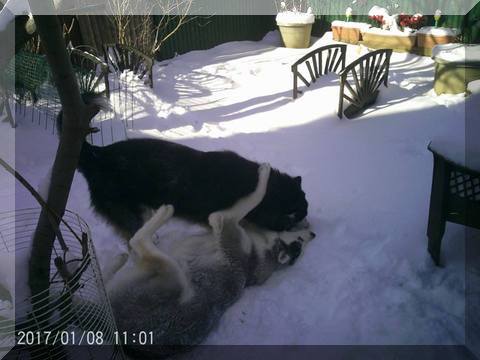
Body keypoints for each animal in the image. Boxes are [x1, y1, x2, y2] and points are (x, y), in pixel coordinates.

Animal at [103, 164, 316, 360]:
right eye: (300, 241)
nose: (313, 234)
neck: (266, 247)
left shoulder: (225, 222)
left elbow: (252, 199)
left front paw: (264, 173)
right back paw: (117, 260)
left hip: (172, 276)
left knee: (137, 241)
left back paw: (163, 213)